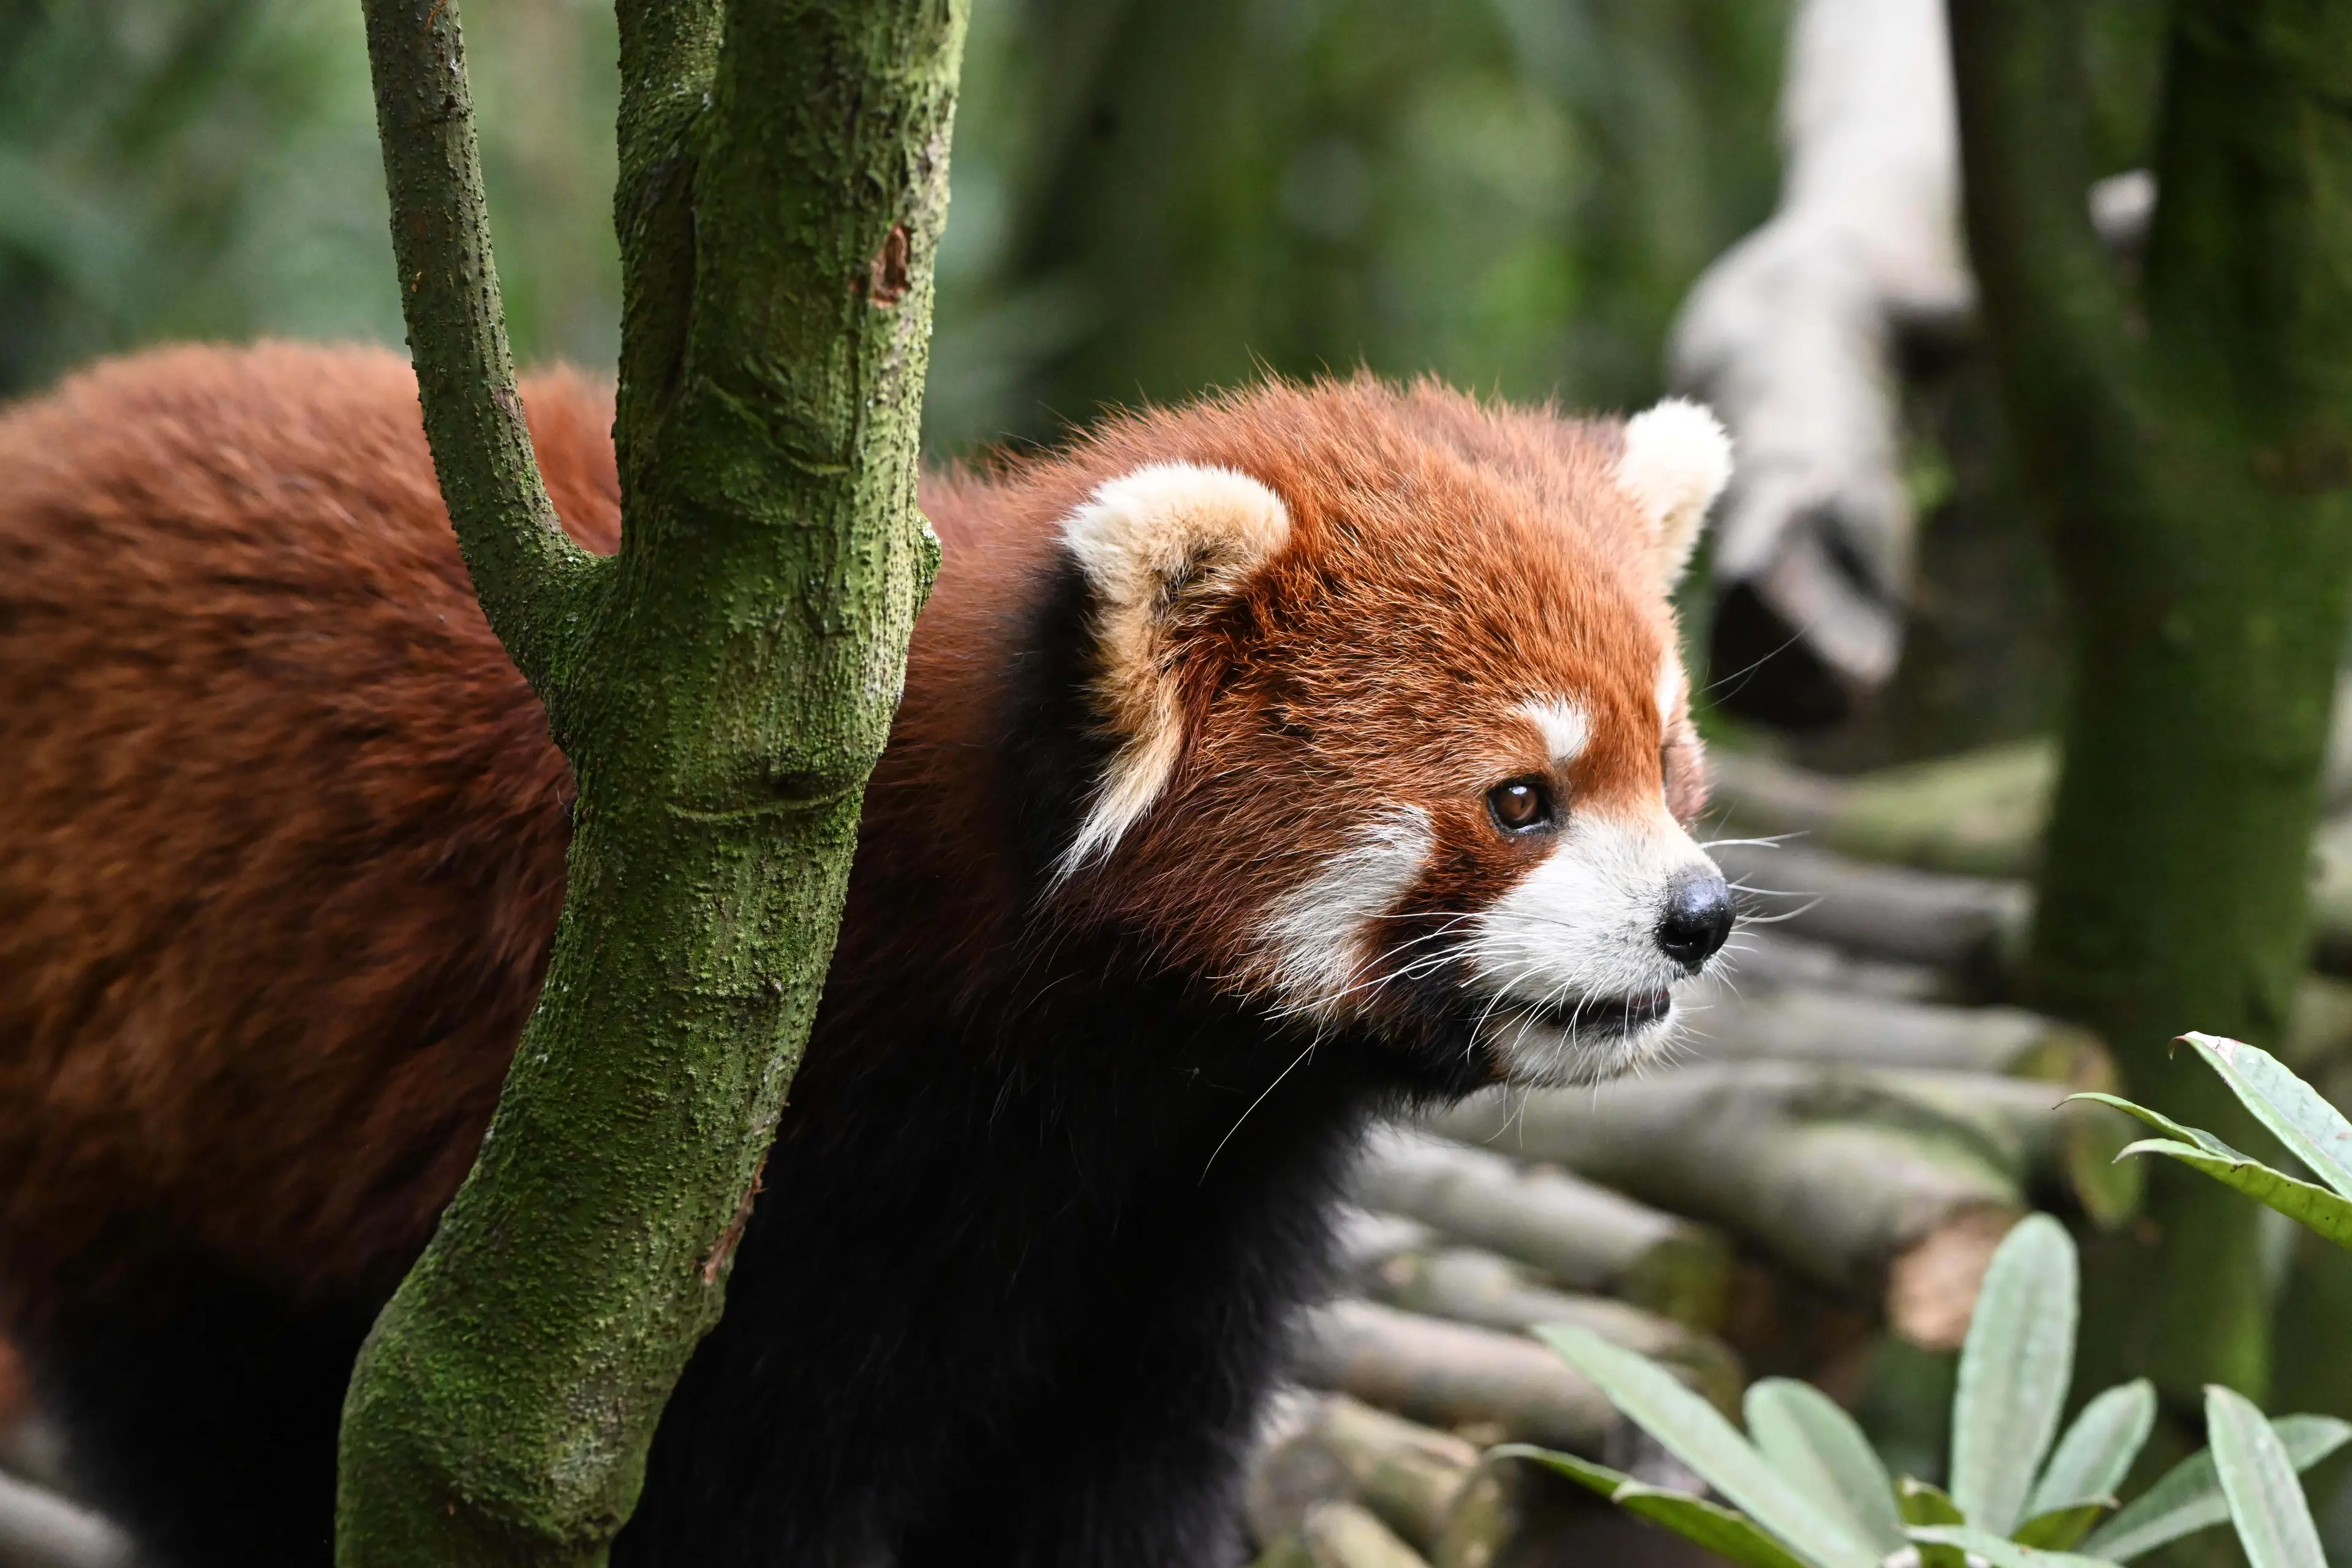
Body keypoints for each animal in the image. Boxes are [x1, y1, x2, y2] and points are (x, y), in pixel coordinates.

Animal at [0, 342, 1735, 1566]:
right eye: (1520, 798)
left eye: (1668, 757)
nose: (1698, 916)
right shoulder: (758, 1196)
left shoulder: (1183, 1231)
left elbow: (1120, 1484)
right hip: (149, 1131)